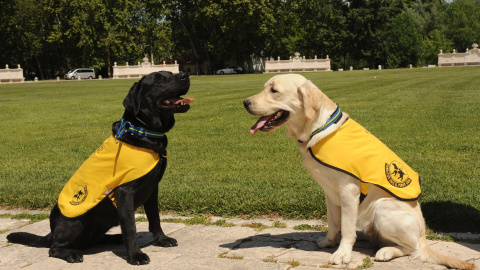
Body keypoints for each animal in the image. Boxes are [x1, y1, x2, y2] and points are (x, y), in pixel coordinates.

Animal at [6, 70, 192, 264]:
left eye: (171, 73)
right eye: (158, 80)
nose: (185, 74)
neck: (143, 131)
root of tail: (52, 231)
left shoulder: (152, 189)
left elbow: (155, 218)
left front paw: (162, 240)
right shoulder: (124, 192)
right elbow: (130, 227)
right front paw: (135, 255)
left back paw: (115, 238)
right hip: (75, 222)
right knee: (54, 248)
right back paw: (71, 253)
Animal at [242, 74, 474, 270]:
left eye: (274, 90)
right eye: (265, 88)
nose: (245, 102)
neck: (317, 129)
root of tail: (424, 237)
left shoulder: (348, 190)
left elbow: (345, 227)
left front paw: (342, 254)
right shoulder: (329, 192)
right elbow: (334, 223)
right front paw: (328, 242)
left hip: (382, 209)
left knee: (412, 249)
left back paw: (386, 251)